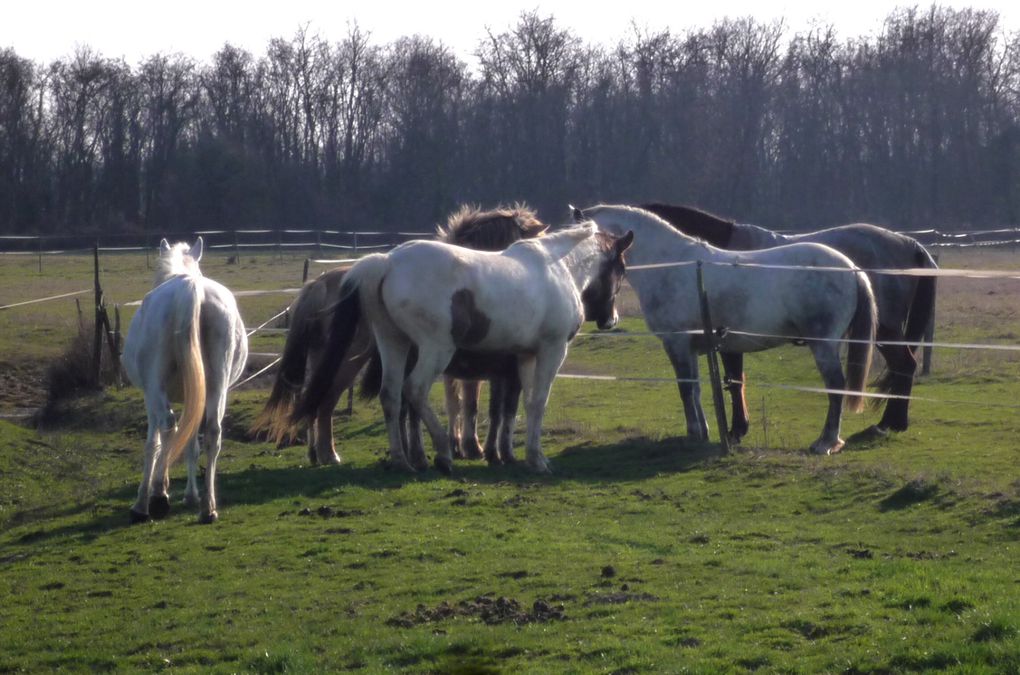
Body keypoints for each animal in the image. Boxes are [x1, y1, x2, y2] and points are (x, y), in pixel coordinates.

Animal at [121, 240, 248, 526]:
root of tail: (192, 288)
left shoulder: (150, 396)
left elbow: (153, 444)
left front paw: (145, 499)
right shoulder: (196, 395)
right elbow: (192, 443)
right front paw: (191, 496)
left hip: (156, 389)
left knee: (169, 426)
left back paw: (157, 496)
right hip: (217, 387)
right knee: (212, 433)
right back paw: (208, 508)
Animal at [291, 223, 632, 475]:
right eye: (622, 268)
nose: (611, 319)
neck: (559, 268)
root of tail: (387, 262)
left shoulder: (524, 357)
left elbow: (520, 406)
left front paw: (519, 455)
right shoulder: (552, 351)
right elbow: (537, 403)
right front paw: (537, 460)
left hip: (394, 343)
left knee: (391, 396)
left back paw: (402, 461)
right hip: (434, 350)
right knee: (414, 390)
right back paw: (442, 453)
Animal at [575, 205, 877, 456]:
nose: (606, 320)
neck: (672, 264)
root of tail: (852, 268)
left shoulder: (676, 344)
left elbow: (685, 388)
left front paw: (693, 433)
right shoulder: (691, 348)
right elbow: (695, 389)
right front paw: (702, 432)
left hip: (823, 345)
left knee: (836, 387)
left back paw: (826, 442)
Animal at [640, 203, 934, 442]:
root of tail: (909, 244)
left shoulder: (729, 341)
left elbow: (735, 381)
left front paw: (737, 430)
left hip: (885, 330)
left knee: (904, 365)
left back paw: (890, 423)